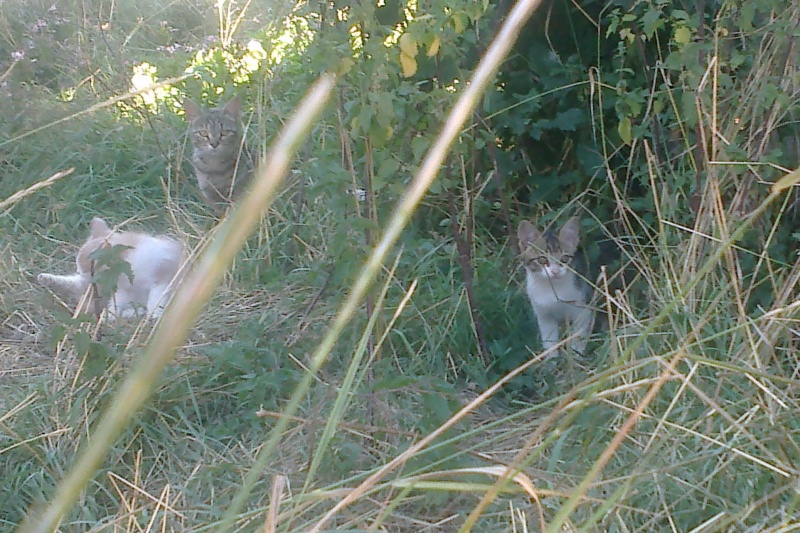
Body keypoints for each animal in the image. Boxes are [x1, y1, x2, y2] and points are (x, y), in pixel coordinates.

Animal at [39, 217, 188, 318]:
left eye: (83, 268)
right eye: (78, 266)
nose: (78, 271)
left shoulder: (163, 275)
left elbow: (156, 300)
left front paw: (154, 315)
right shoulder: (121, 290)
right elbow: (116, 306)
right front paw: (110, 316)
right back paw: (46, 279)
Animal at [520, 214, 592, 356]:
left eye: (564, 259)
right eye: (542, 259)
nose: (555, 271)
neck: (551, 289)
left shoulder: (583, 310)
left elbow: (578, 338)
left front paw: (577, 356)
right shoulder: (543, 315)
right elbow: (549, 342)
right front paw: (551, 360)